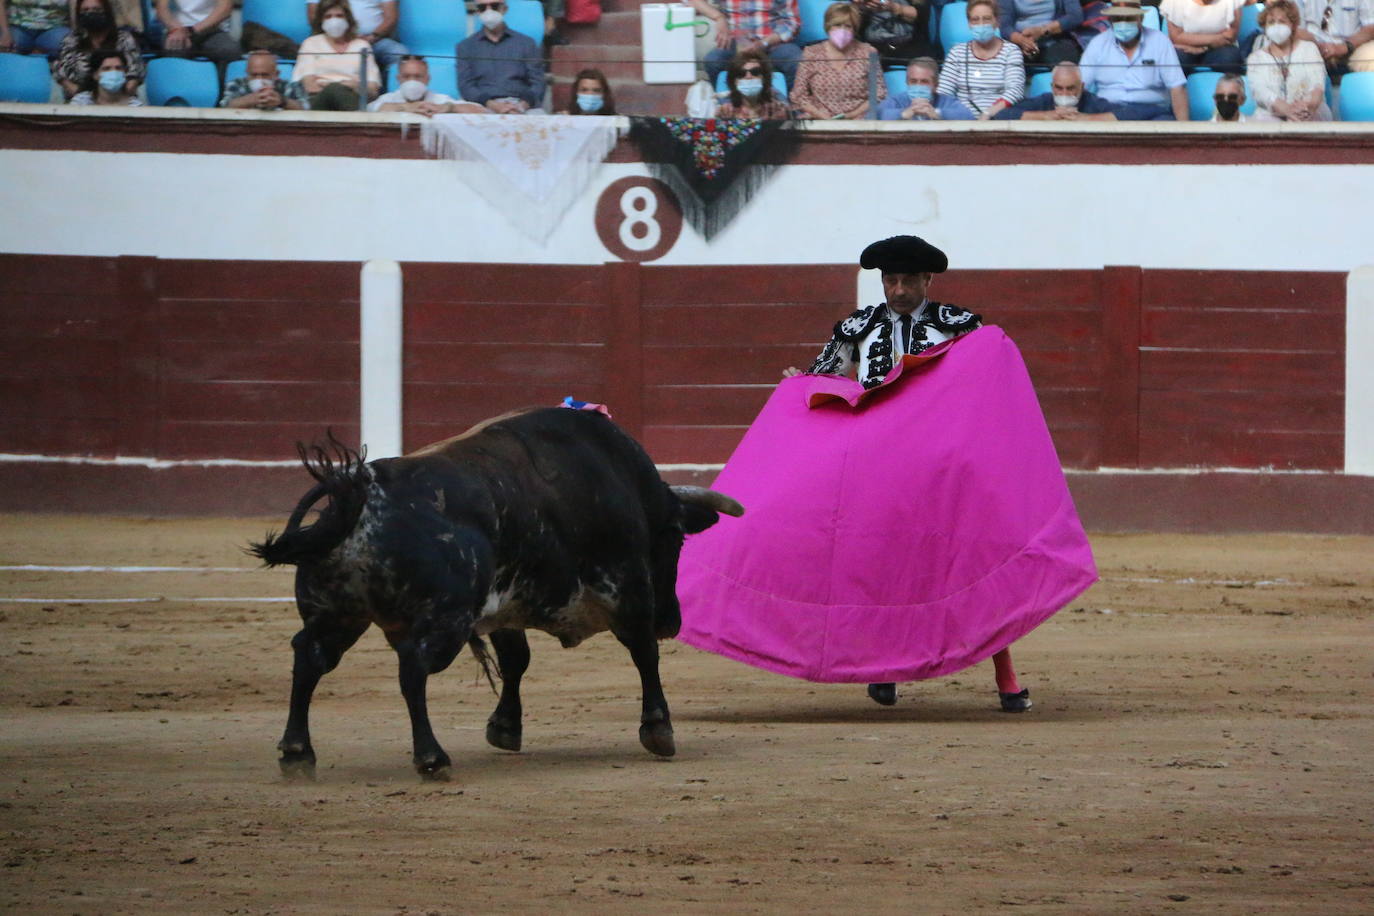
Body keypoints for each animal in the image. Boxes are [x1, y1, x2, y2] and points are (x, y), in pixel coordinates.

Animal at [247, 409, 741, 780]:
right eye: (676, 539)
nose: (672, 621)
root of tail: (358, 499)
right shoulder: (628, 587)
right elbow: (643, 655)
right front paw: (659, 730)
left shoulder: (506, 604)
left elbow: (515, 660)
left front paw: (504, 727)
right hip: (444, 619)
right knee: (412, 668)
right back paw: (432, 758)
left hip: (337, 615)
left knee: (309, 658)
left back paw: (297, 753)